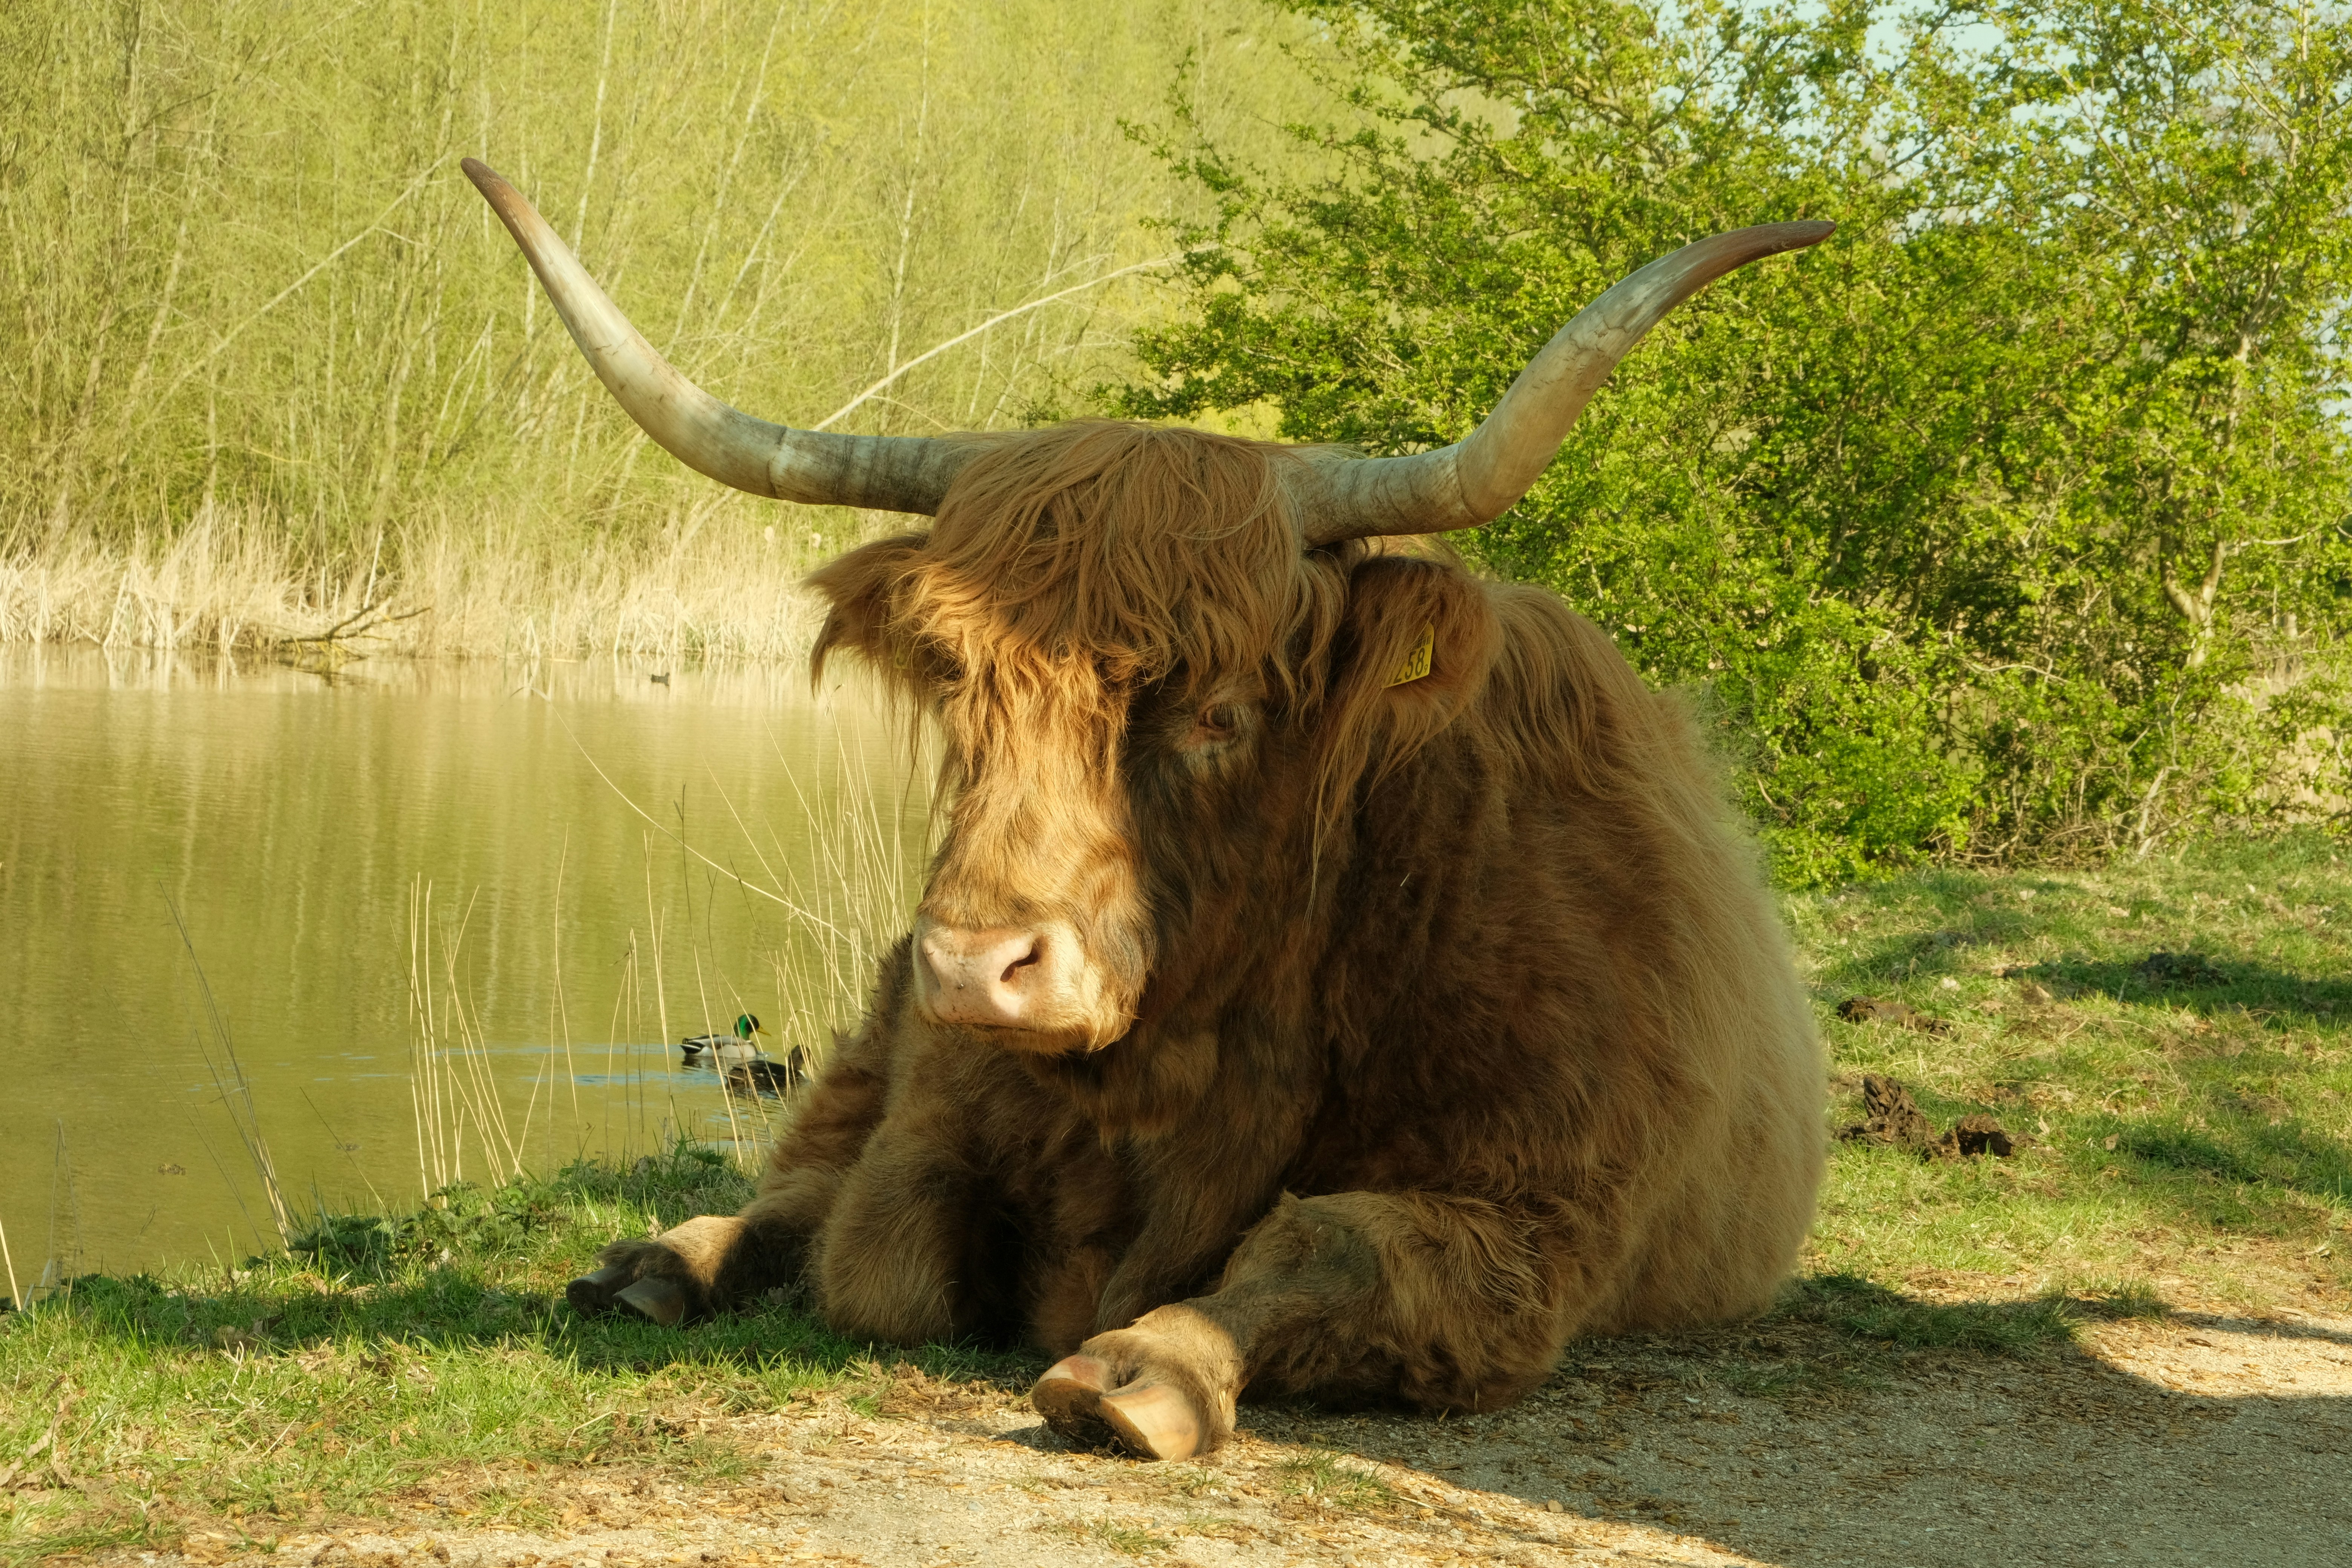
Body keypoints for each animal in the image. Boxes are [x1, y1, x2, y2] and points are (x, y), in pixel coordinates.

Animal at [462, 157, 1828, 1462]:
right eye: (955, 680)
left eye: (1219, 709)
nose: (978, 967)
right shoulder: (940, 1105)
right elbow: (876, 1246)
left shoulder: (1541, 1214)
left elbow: (1326, 1245)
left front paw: (1144, 1371)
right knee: (803, 1180)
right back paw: (652, 1266)